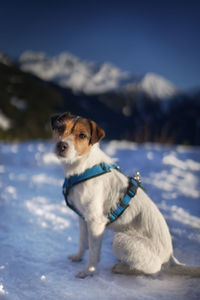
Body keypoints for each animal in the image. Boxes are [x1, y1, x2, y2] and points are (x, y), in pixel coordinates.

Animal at [50, 112, 200, 278]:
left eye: (82, 135)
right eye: (60, 128)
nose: (61, 145)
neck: (83, 168)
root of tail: (170, 257)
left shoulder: (96, 222)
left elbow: (93, 252)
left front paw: (88, 271)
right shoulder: (83, 218)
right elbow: (83, 242)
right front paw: (78, 257)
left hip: (120, 240)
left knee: (154, 269)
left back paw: (122, 268)